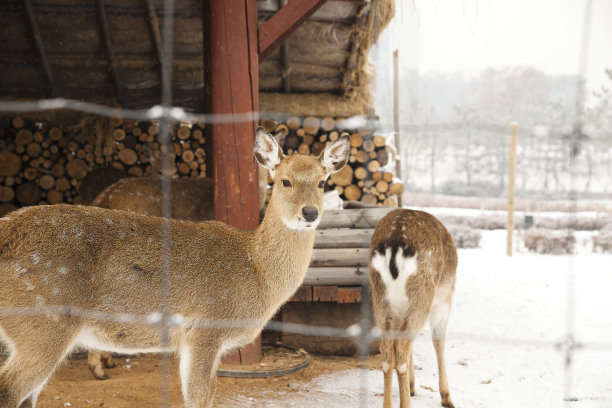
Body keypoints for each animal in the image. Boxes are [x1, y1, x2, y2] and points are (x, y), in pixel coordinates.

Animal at [0, 127, 350, 408]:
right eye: (284, 181)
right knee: (10, 390)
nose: (309, 213)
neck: (257, 272)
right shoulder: (205, 329)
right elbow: (200, 397)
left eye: (322, 182)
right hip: (43, 323)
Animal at [366, 209, 456, 408]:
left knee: (387, 352)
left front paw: (412, 385)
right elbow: (438, 341)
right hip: (422, 295)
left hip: (380, 300)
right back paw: (406, 403)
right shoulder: (444, 300)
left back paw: (388, 404)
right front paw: (446, 397)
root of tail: (394, 246)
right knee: (400, 348)